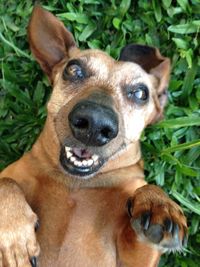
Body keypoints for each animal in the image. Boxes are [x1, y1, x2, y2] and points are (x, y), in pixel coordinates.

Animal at [0, 4, 188, 267]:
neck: (75, 184)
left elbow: (148, 190)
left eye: (141, 93)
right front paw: (16, 238)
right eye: (73, 69)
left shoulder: (134, 259)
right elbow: (6, 183)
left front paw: (160, 205)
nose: (95, 124)